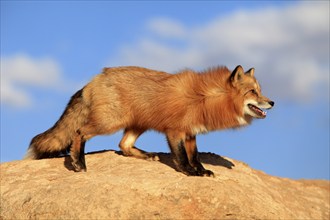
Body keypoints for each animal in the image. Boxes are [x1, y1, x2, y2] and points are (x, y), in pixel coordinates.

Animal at [25, 65, 274, 177]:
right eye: (253, 92)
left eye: (261, 91)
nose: (272, 102)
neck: (204, 98)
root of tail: (95, 79)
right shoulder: (174, 132)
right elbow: (182, 157)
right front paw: (188, 172)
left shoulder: (190, 133)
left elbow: (195, 156)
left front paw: (201, 171)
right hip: (108, 123)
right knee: (78, 132)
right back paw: (78, 162)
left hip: (137, 125)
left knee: (123, 145)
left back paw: (145, 155)